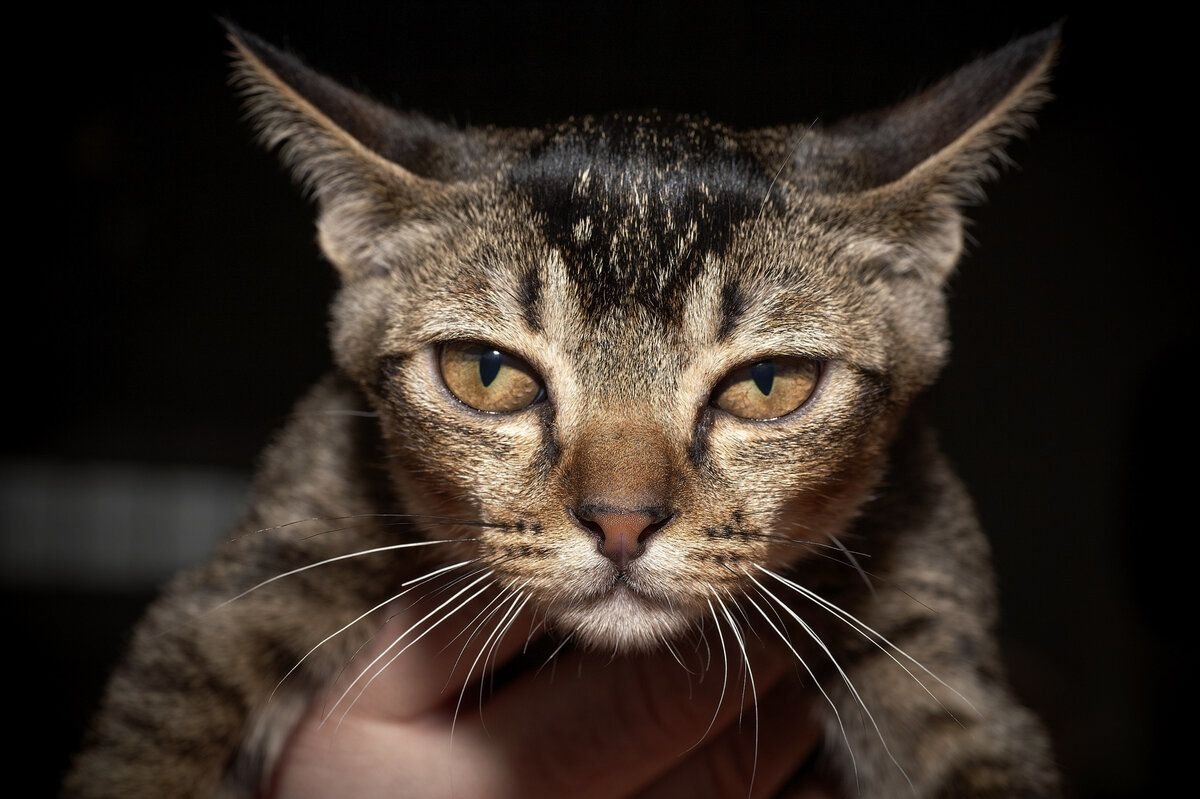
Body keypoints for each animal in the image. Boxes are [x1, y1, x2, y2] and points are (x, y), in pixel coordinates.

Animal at [63, 20, 1060, 796]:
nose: (620, 521)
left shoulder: (933, 623)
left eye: (769, 382)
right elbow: (159, 732)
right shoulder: (254, 574)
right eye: (487, 372)